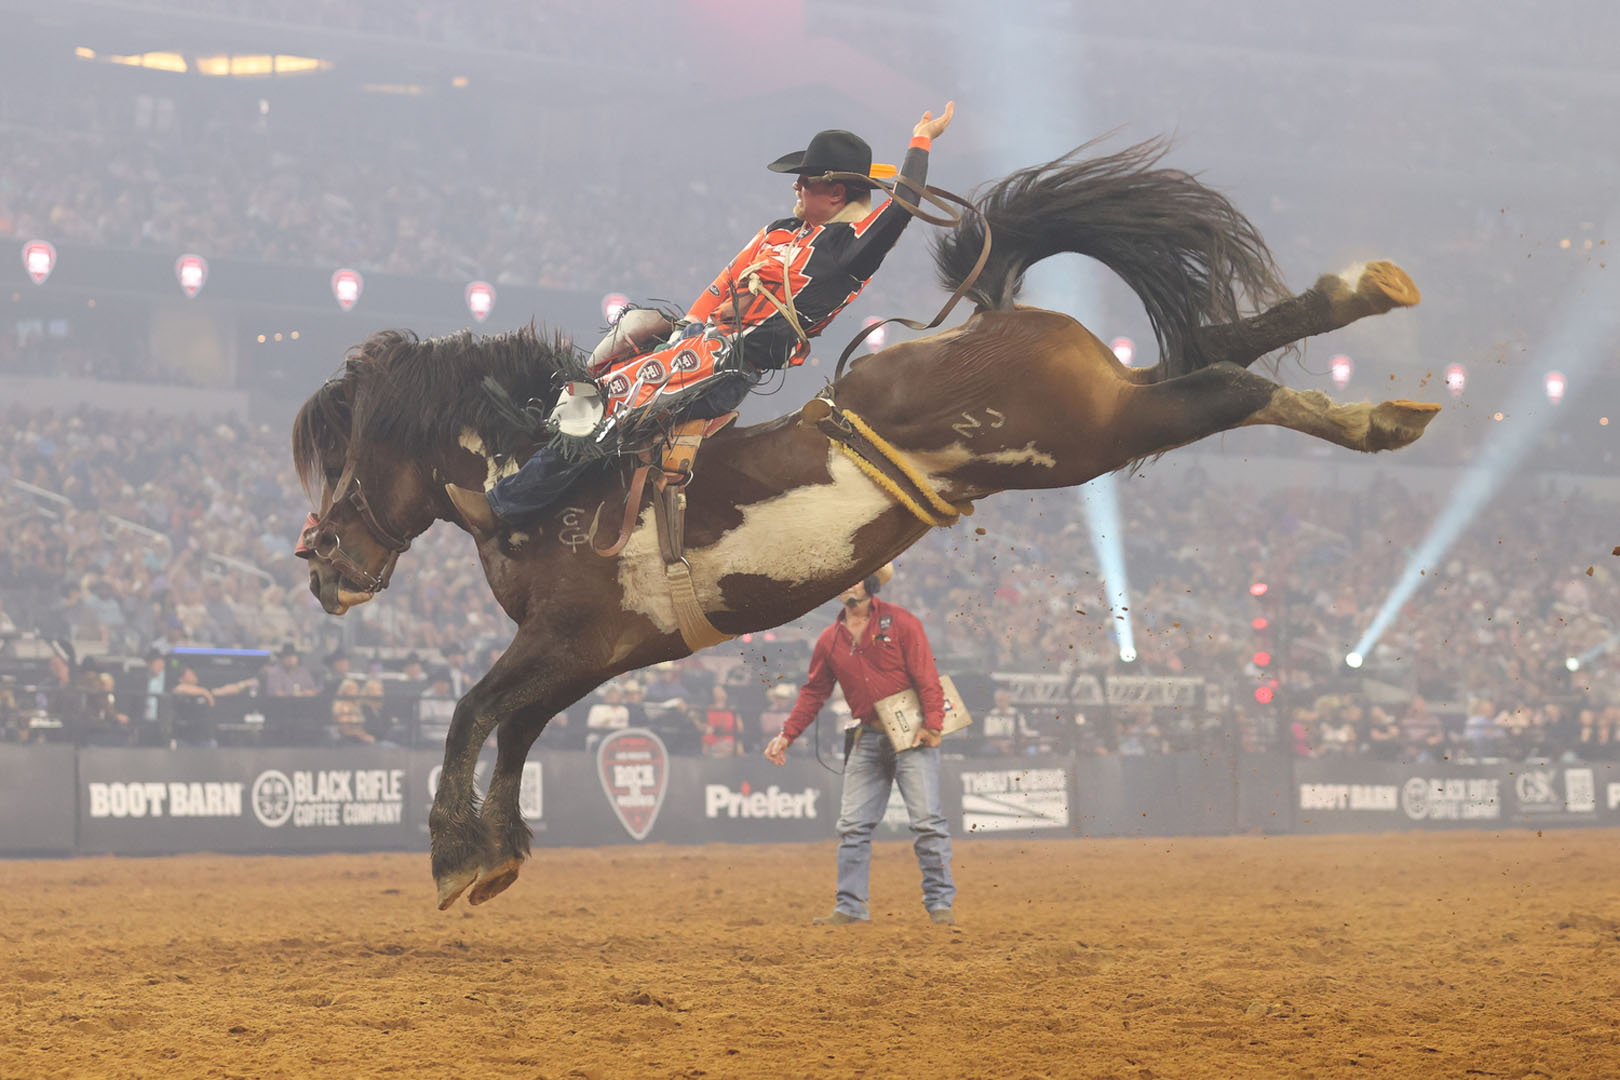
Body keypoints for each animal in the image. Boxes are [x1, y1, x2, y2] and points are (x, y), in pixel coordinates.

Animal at [292, 139, 1438, 909]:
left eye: (342, 465)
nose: (320, 566)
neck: (544, 472)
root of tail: (988, 322)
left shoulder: (568, 638)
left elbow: (470, 713)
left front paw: (452, 856)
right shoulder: (595, 654)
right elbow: (515, 727)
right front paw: (498, 853)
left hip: (1089, 435)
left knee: (1230, 386)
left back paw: (1370, 379)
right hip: (1107, 409)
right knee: (1219, 355)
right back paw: (1371, 335)